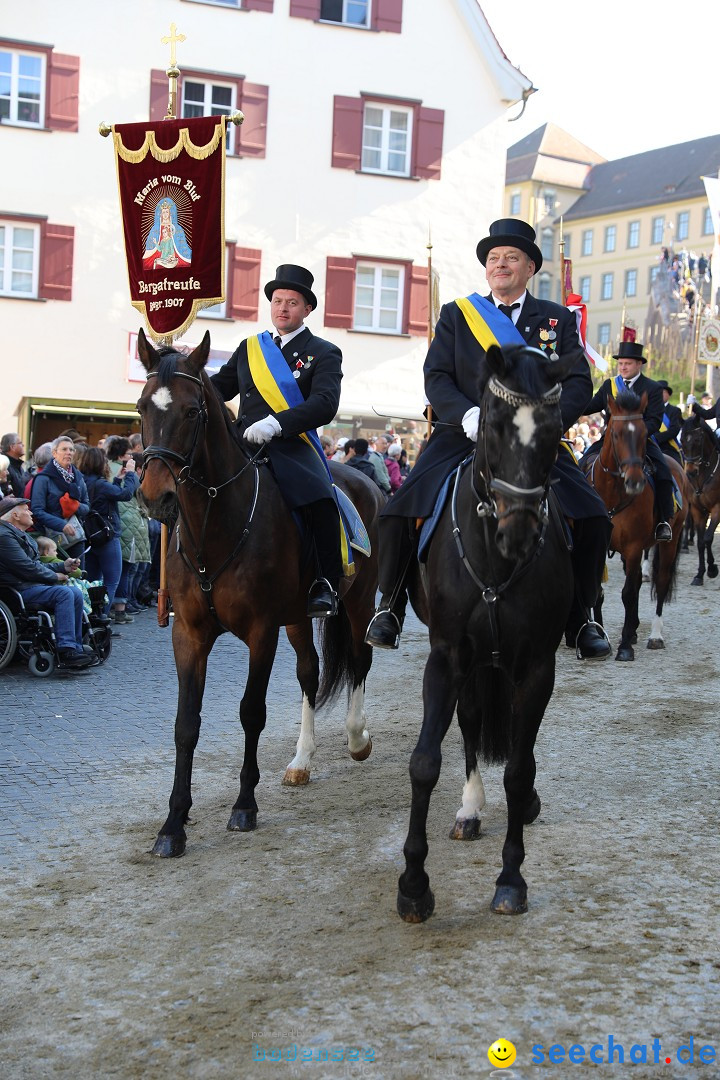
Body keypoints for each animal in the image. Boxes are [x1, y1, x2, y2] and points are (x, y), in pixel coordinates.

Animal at [134, 328, 382, 859]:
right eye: (143, 406)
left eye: (192, 411)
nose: (155, 497)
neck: (214, 522)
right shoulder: (189, 634)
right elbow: (186, 724)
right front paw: (173, 824)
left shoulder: (260, 631)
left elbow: (252, 712)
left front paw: (244, 805)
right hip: (299, 617)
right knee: (311, 674)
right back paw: (302, 761)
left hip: (357, 601)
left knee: (359, 659)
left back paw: (356, 739)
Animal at [399, 343, 574, 920]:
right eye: (494, 424)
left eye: (553, 429)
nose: (517, 530)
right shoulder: (447, 657)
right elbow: (425, 761)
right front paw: (413, 885)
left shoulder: (537, 666)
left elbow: (517, 771)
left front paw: (511, 880)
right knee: (473, 723)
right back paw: (470, 809)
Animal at [582, 388, 690, 656]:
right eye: (616, 433)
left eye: (643, 433)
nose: (635, 482)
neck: (611, 494)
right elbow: (598, 592)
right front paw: (602, 636)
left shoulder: (632, 549)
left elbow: (628, 593)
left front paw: (624, 647)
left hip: (670, 541)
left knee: (660, 582)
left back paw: (654, 635)